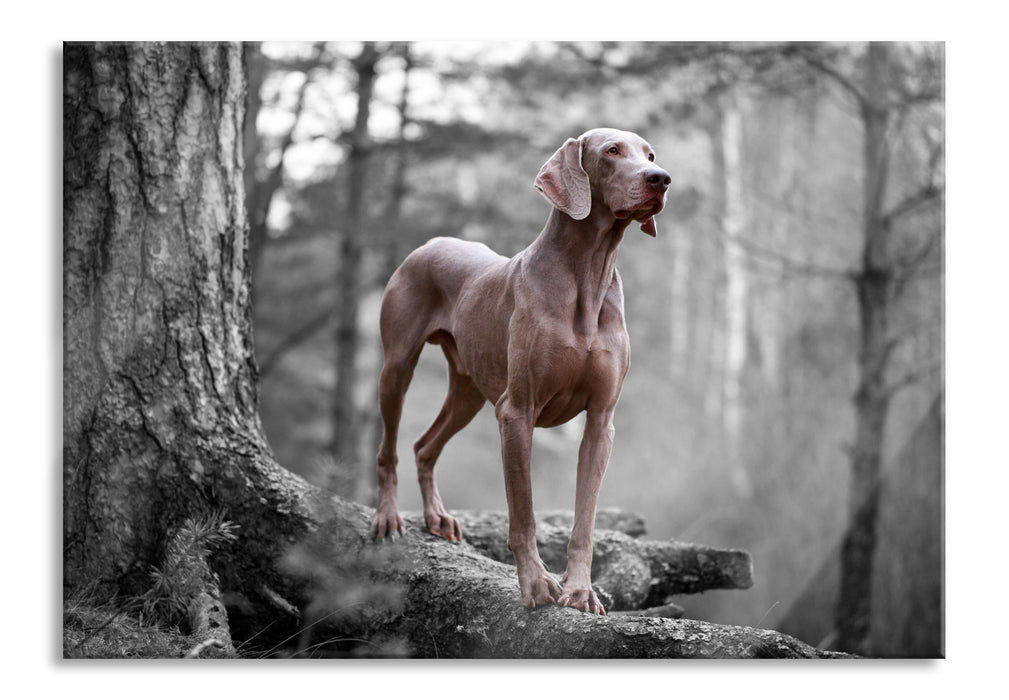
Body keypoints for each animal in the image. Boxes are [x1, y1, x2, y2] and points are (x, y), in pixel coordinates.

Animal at [371, 126, 669, 613]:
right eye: (612, 151)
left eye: (650, 155)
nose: (661, 179)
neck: (587, 275)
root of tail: (432, 243)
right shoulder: (517, 412)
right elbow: (523, 514)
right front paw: (535, 584)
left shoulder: (600, 422)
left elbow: (584, 520)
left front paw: (580, 590)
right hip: (397, 368)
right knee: (389, 449)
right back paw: (388, 516)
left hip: (469, 392)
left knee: (423, 446)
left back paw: (437, 516)